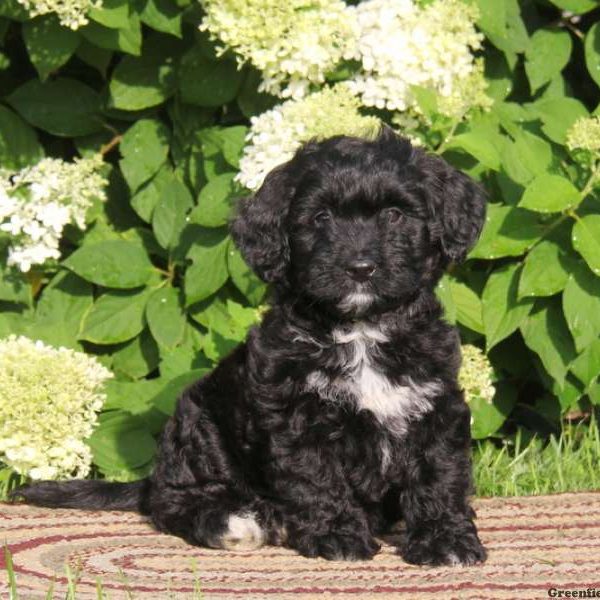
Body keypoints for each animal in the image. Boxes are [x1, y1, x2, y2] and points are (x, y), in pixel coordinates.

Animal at [12, 129, 488, 564]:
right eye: (321, 219)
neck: (361, 331)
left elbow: (440, 475)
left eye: (394, 215)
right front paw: (337, 536)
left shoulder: (434, 404)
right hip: (200, 422)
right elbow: (318, 478)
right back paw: (238, 521)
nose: (360, 268)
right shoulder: (296, 417)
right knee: (173, 501)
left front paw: (446, 540)